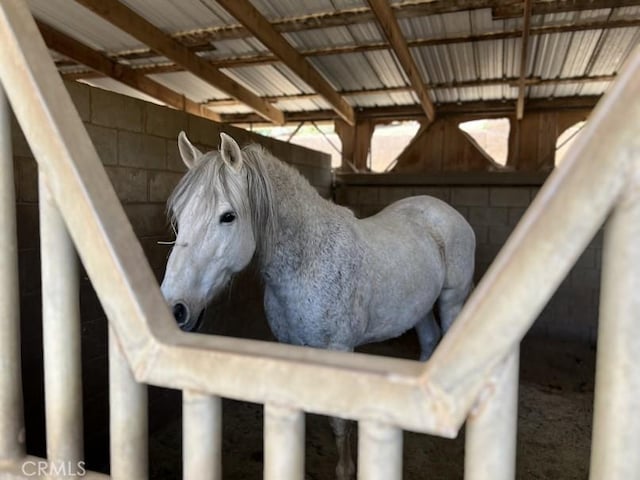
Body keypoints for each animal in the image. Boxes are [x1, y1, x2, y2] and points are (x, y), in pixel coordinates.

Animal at [160, 131, 476, 480]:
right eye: (179, 214)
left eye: (228, 216)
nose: (175, 308)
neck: (308, 261)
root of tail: (443, 210)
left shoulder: (338, 351)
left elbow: (339, 422)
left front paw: (346, 470)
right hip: (418, 308)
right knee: (430, 341)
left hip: (451, 302)